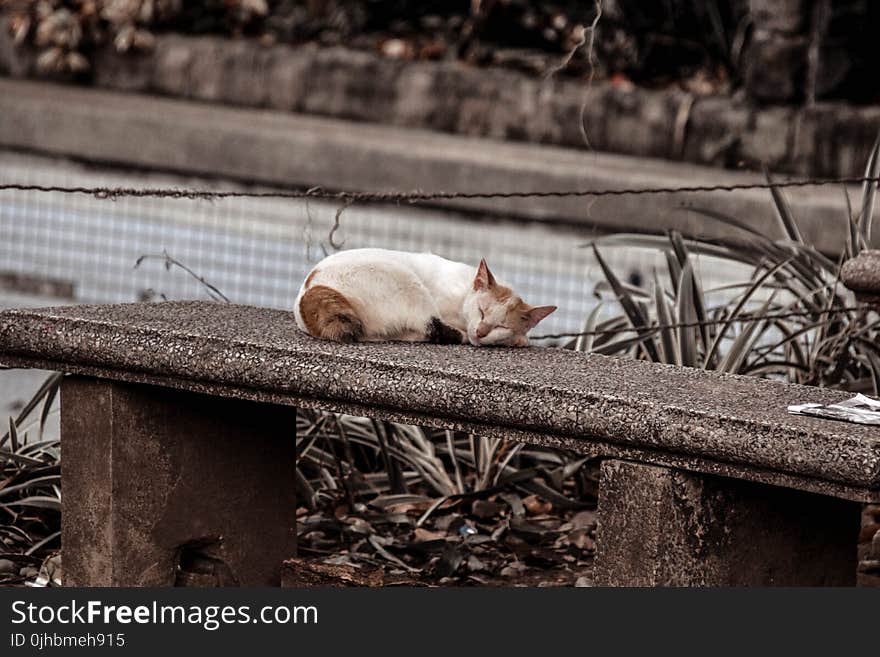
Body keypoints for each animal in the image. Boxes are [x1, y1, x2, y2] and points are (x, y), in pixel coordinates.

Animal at [296, 247, 556, 348]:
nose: (481, 332)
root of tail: (311, 289)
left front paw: (518, 339)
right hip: (409, 284)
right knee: (432, 326)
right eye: (481, 311)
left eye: (502, 326)